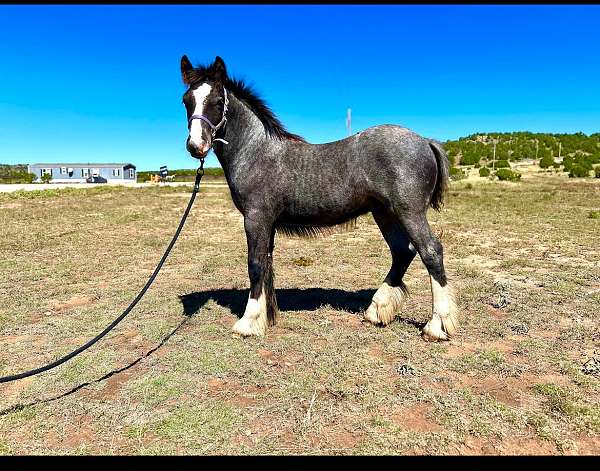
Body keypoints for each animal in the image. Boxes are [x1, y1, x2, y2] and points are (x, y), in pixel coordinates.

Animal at [180, 56, 458, 342]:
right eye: (186, 100)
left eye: (217, 101)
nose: (195, 146)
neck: (256, 152)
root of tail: (425, 141)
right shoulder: (268, 224)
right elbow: (267, 263)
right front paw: (268, 318)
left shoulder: (256, 219)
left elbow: (255, 264)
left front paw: (247, 323)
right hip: (385, 213)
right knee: (402, 252)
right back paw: (376, 310)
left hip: (409, 211)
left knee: (430, 251)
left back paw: (436, 326)